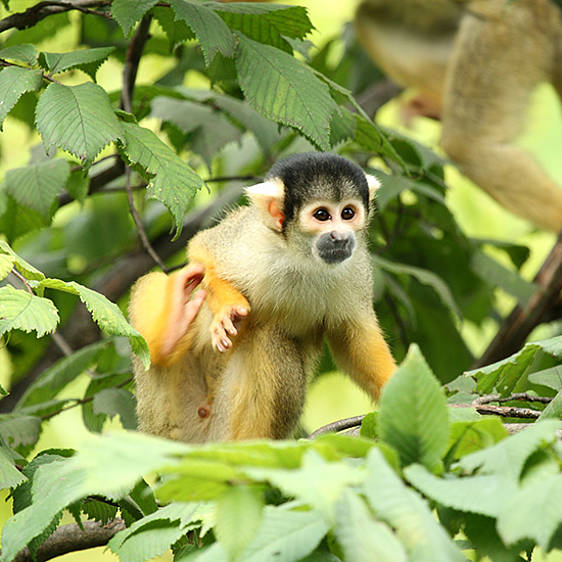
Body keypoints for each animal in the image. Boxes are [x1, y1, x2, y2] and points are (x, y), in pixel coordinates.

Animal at [129, 152, 396, 442]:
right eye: (322, 215)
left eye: (348, 213)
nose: (340, 236)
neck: (302, 256)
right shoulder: (251, 235)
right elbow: (203, 249)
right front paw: (227, 307)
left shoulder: (356, 265)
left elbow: (354, 339)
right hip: (161, 418)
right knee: (154, 282)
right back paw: (170, 336)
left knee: (270, 336)